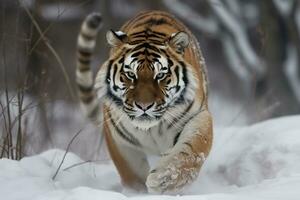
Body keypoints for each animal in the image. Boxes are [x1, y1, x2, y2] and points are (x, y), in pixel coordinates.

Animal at [77, 10, 213, 193]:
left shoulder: (198, 116)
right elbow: (131, 172)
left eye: (160, 75)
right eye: (130, 74)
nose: (144, 106)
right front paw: (137, 193)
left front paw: (164, 178)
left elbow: (191, 151)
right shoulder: (118, 138)